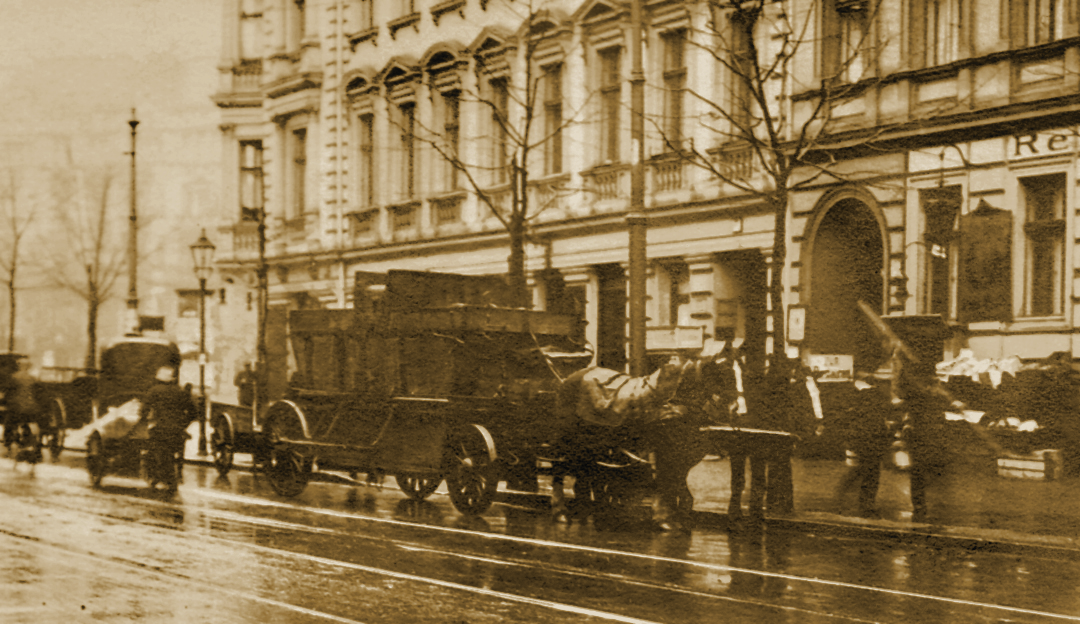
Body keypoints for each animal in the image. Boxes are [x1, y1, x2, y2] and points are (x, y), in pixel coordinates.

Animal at [548, 347, 743, 526]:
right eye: (721, 375)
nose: (734, 408)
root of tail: (570, 378)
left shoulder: (682, 454)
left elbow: (678, 483)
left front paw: (677, 518)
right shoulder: (664, 450)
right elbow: (664, 480)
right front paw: (663, 518)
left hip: (592, 444)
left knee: (587, 472)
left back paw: (588, 512)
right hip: (566, 439)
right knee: (559, 469)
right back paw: (561, 512)